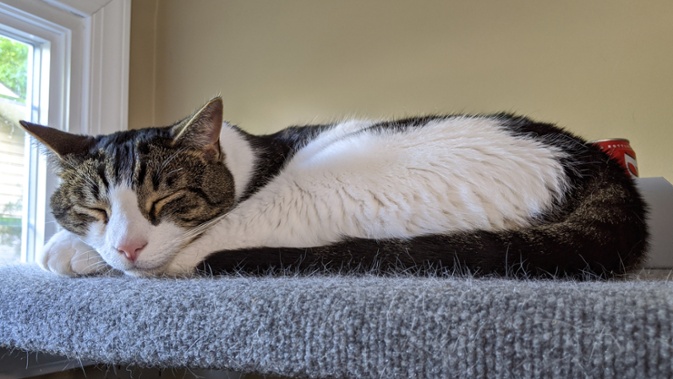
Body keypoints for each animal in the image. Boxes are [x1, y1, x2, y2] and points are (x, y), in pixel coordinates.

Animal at [21, 96, 648, 280]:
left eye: (167, 202)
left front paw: (71, 253)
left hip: (317, 185)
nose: (127, 246)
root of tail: (592, 159)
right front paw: (77, 246)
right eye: (94, 208)